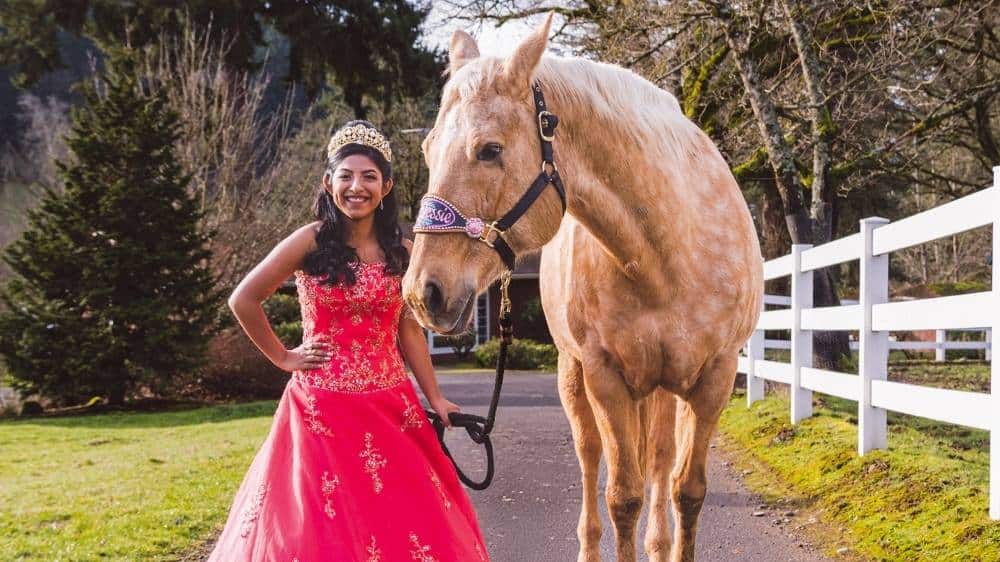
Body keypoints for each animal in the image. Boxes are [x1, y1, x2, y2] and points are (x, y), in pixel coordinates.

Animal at [402, 14, 763, 562]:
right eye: (427, 150)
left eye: (490, 150)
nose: (425, 291)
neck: (665, 255)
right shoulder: (605, 377)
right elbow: (622, 497)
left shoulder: (715, 377)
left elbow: (687, 490)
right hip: (574, 377)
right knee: (592, 458)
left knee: (660, 460)